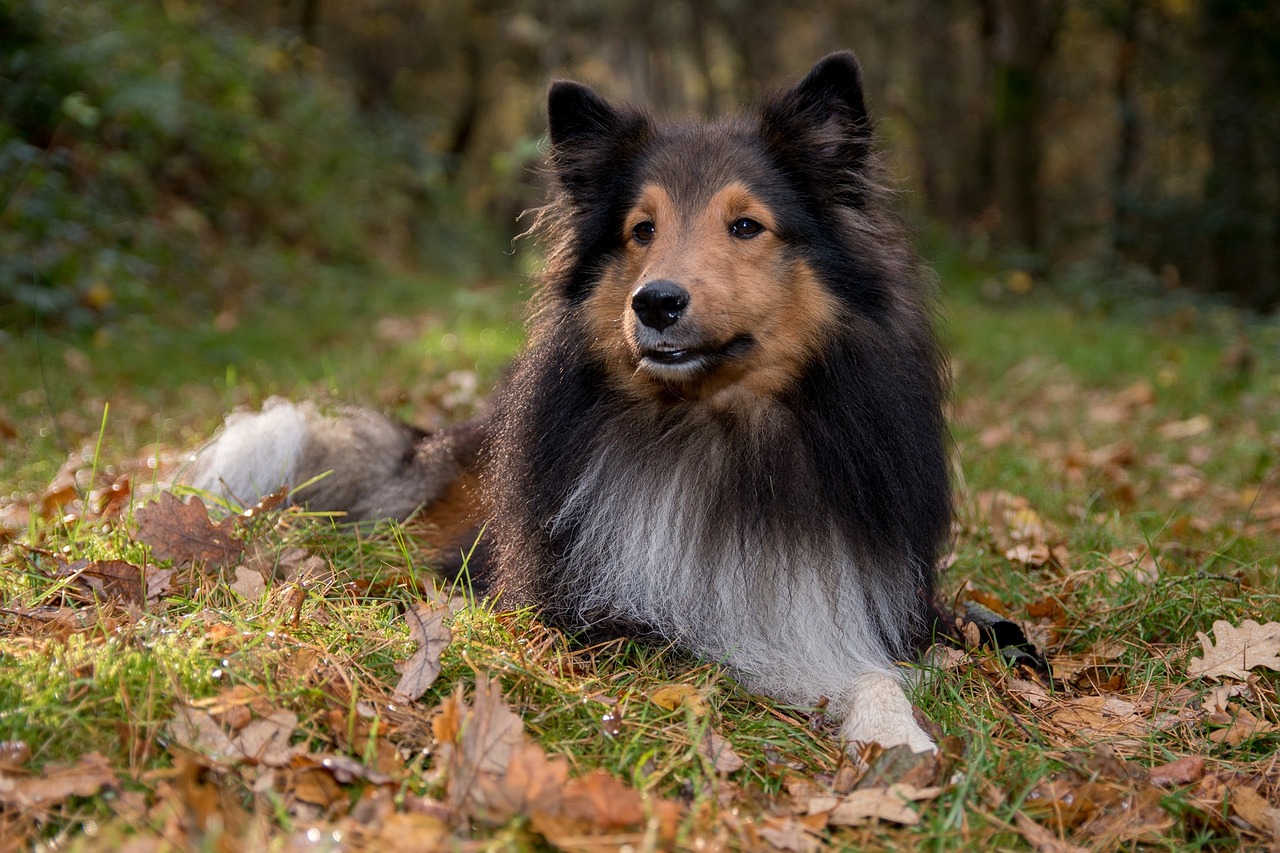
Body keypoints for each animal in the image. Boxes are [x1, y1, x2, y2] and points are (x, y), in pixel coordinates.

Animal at [189, 54, 952, 753]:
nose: (655, 303)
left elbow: (867, 661)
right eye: (642, 229)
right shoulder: (595, 610)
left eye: (746, 227)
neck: (713, 430)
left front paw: (895, 727)